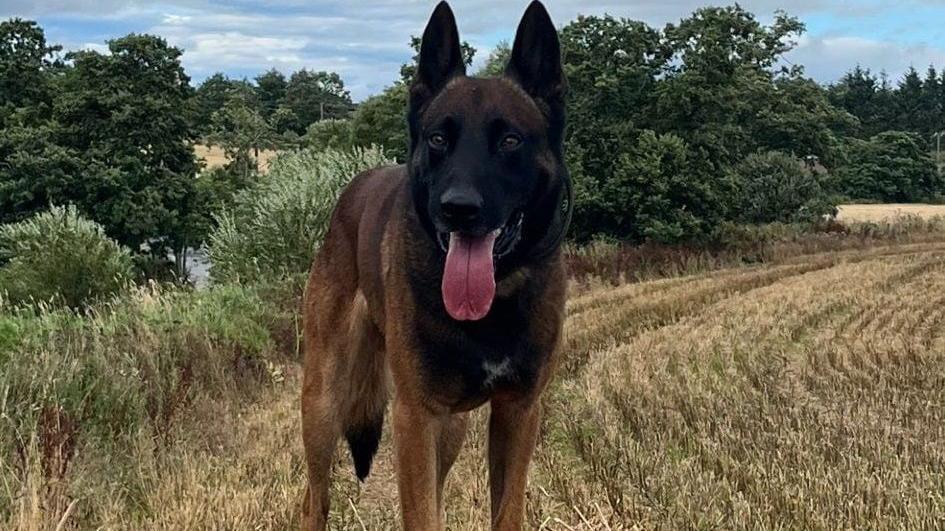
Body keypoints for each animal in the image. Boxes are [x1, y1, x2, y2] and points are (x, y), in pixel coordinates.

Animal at [300, 2, 568, 528]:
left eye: (510, 141)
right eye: (439, 138)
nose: (457, 208)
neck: (494, 305)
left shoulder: (518, 412)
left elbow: (506, 511)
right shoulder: (415, 417)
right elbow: (420, 513)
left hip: (451, 426)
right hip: (323, 405)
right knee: (313, 498)